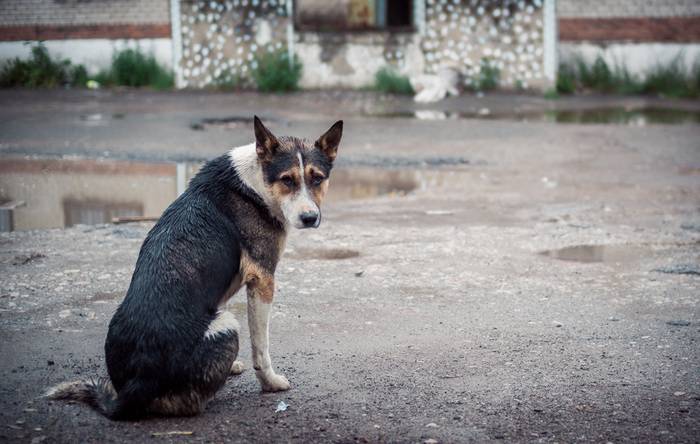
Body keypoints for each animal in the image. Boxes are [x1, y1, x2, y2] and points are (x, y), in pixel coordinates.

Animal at [45, 115, 342, 420]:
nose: (310, 218)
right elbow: (261, 346)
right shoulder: (262, 279)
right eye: (287, 180)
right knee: (191, 405)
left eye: (317, 179)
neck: (255, 183)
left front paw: (233, 366)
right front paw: (270, 383)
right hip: (227, 325)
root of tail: (132, 390)